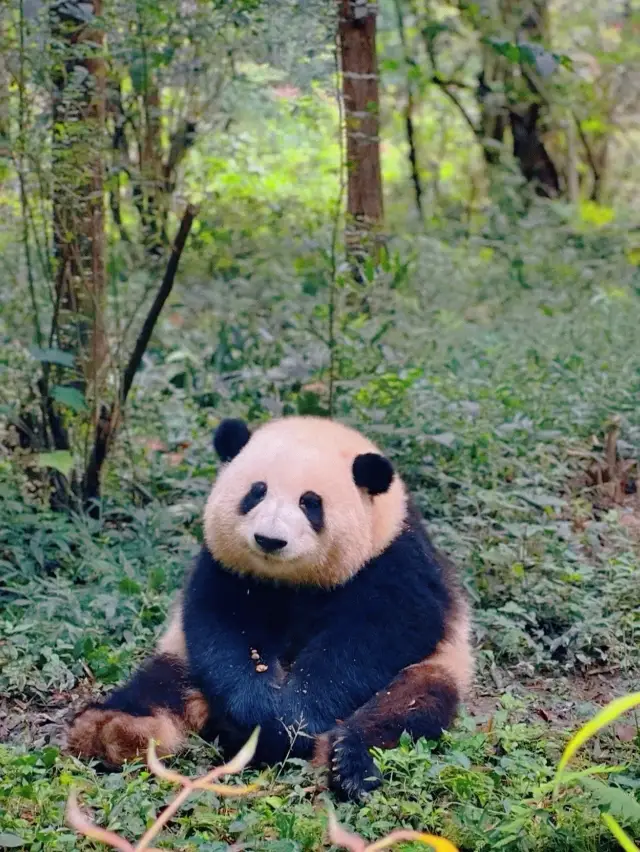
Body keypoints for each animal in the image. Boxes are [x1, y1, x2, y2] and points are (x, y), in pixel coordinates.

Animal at [67, 415, 473, 801]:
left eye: (310, 502)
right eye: (256, 492)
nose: (269, 540)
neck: (292, 580)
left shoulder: (392, 559)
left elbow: (377, 635)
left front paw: (289, 725)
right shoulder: (228, 569)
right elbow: (226, 631)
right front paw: (260, 720)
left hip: (434, 666)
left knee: (409, 706)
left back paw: (350, 761)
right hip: (182, 659)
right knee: (157, 687)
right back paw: (111, 732)